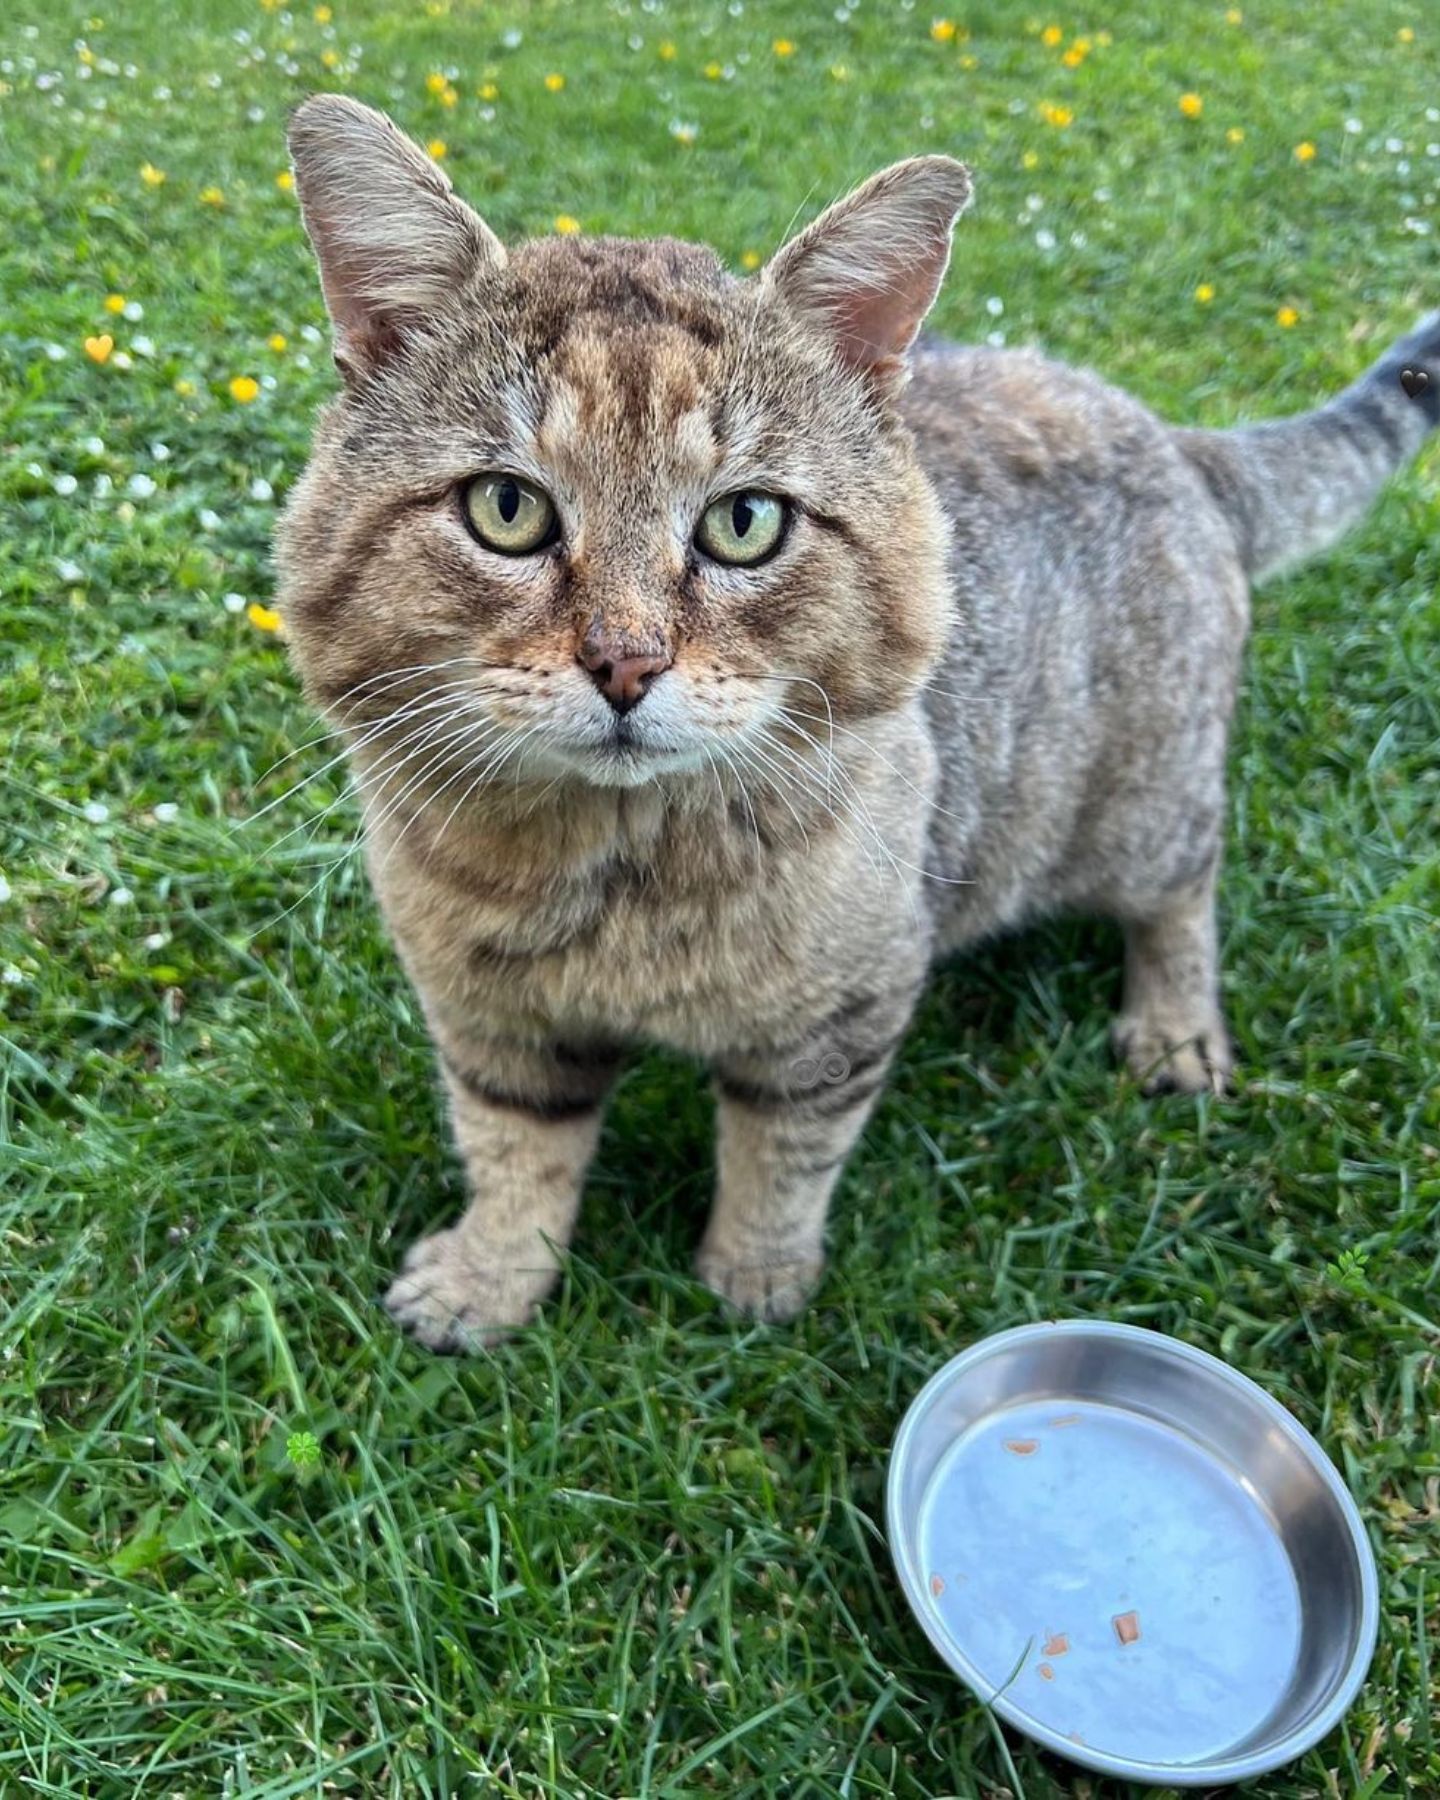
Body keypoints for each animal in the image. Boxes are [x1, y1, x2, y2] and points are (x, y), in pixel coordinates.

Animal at [275, 91, 1432, 1346]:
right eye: (506, 508)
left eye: (744, 523)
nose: (625, 664)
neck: (624, 881)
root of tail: (1171, 432)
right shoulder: (490, 1021)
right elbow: (513, 1154)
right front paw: (491, 1280)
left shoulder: (840, 1021)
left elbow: (784, 1159)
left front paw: (753, 1281)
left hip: (1139, 809)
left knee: (1187, 884)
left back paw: (1173, 1023)